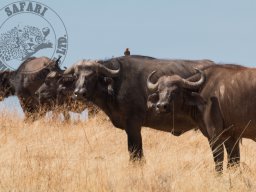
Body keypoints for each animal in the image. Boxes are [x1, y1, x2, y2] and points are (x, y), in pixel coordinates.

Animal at [64, 55, 214, 160]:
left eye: (93, 75)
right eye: (76, 75)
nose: (79, 92)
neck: (117, 84)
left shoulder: (133, 125)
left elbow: (135, 151)